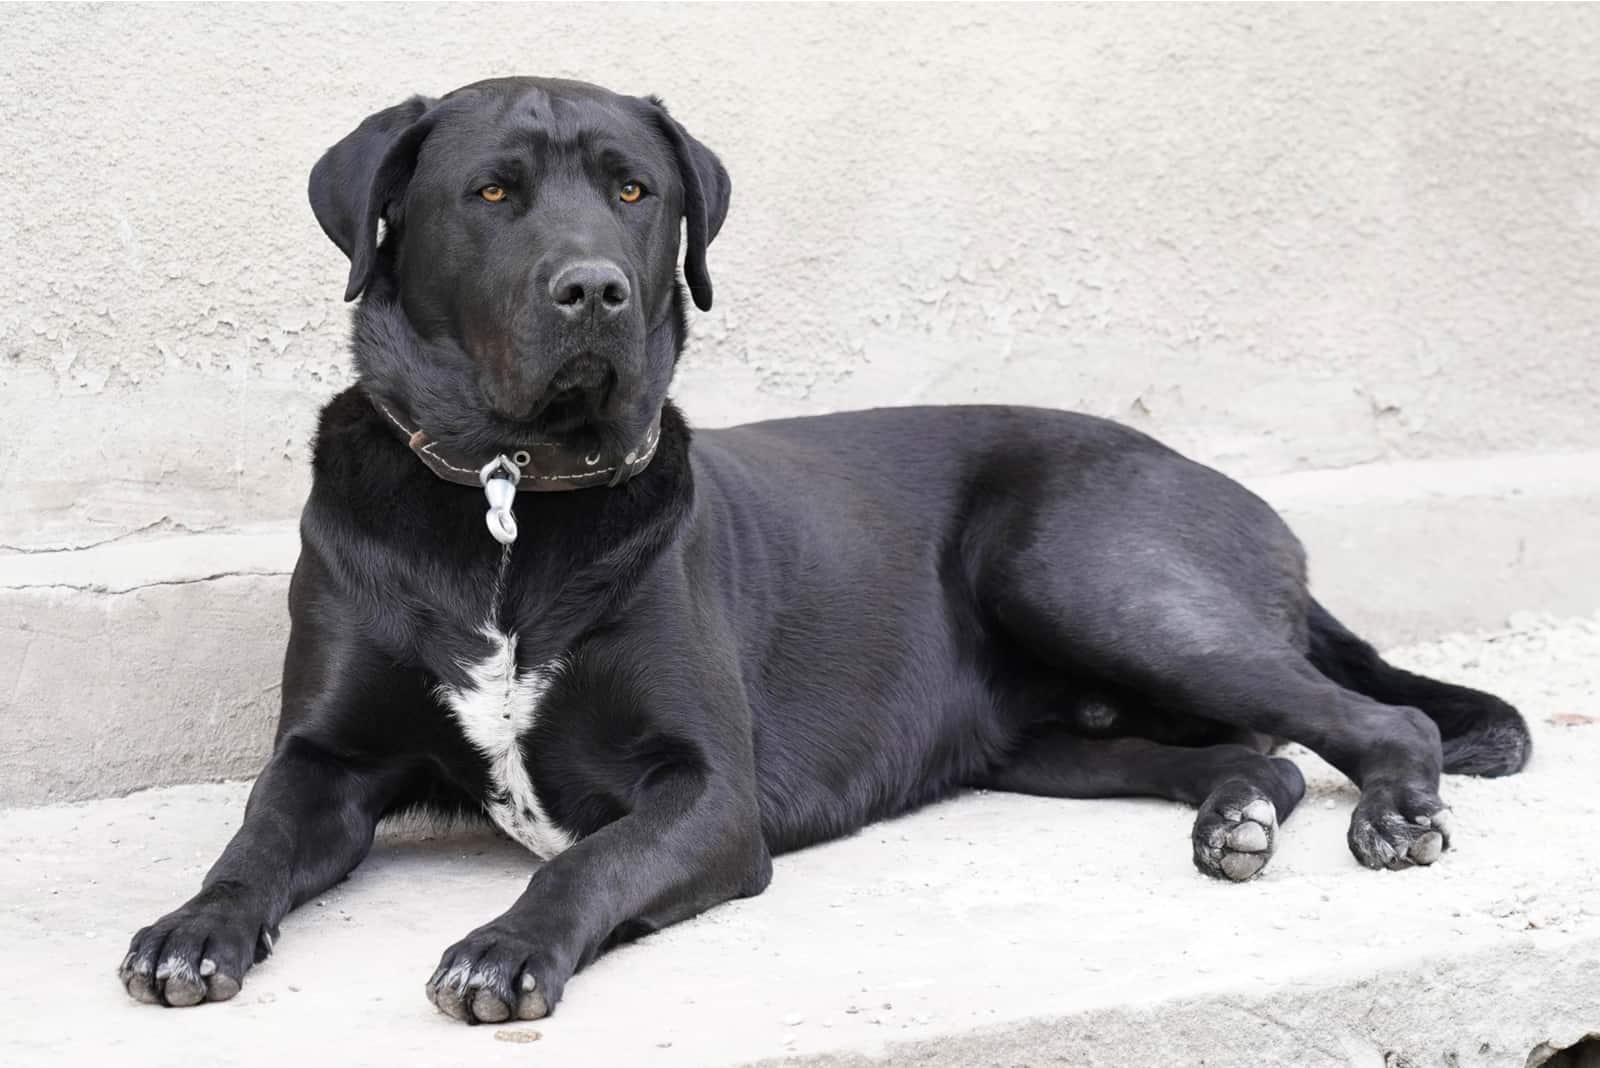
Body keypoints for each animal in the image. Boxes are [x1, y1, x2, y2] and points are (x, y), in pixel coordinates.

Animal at [118, 79, 1529, 1023]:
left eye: (634, 190)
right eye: (492, 194)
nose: (594, 290)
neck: (511, 501)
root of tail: (1240, 497)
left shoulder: (707, 792)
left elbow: (591, 855)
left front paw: (508, 945)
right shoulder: (324, 756)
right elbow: (252, 838)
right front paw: (193, 927)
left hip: (1079, 571)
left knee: (1373, 720)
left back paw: (1395, 815)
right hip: (1043, 736)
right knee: (1263, 755)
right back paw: (1235, 813)